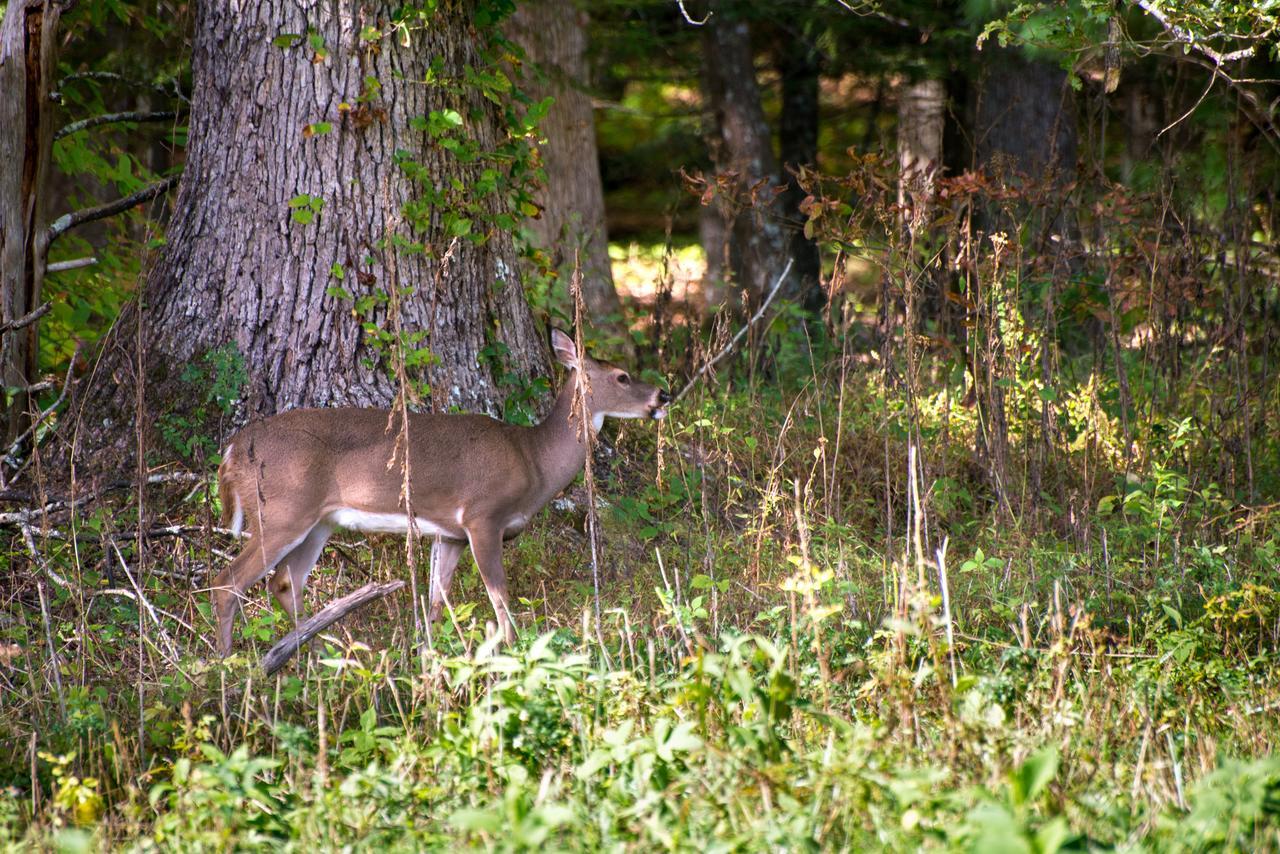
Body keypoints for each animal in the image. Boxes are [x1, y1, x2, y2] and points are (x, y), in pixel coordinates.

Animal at [209, 327, 670, 655]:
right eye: (622, 376)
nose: (663, 394)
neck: (533, 459)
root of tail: (232, 449)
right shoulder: (483, 516)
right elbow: (501, 599)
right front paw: (515, 653)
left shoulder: (450, 534)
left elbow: (435, 602)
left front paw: (428, 654)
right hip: (282, 510)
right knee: (227, 581)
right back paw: (229, 661)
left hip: (320, 521)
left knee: (285, 583)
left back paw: (319, 653)